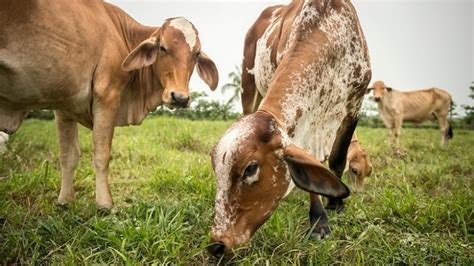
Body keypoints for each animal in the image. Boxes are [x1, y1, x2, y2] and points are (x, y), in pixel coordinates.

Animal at [0, 0, 218, 210]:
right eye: (163, 48)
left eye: (196, 54)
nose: (180, 98)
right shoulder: (107, 96)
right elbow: (101, 155)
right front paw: (105, 204)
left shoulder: (64, 109)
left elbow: (68, 156)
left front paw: (65, 201)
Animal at [207, 0, 370, 258]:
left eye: (250, 168)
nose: (217, 244)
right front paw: (319, 220)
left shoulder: (355, 104)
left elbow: (337, 159)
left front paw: (335, 204)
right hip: (248, 85)